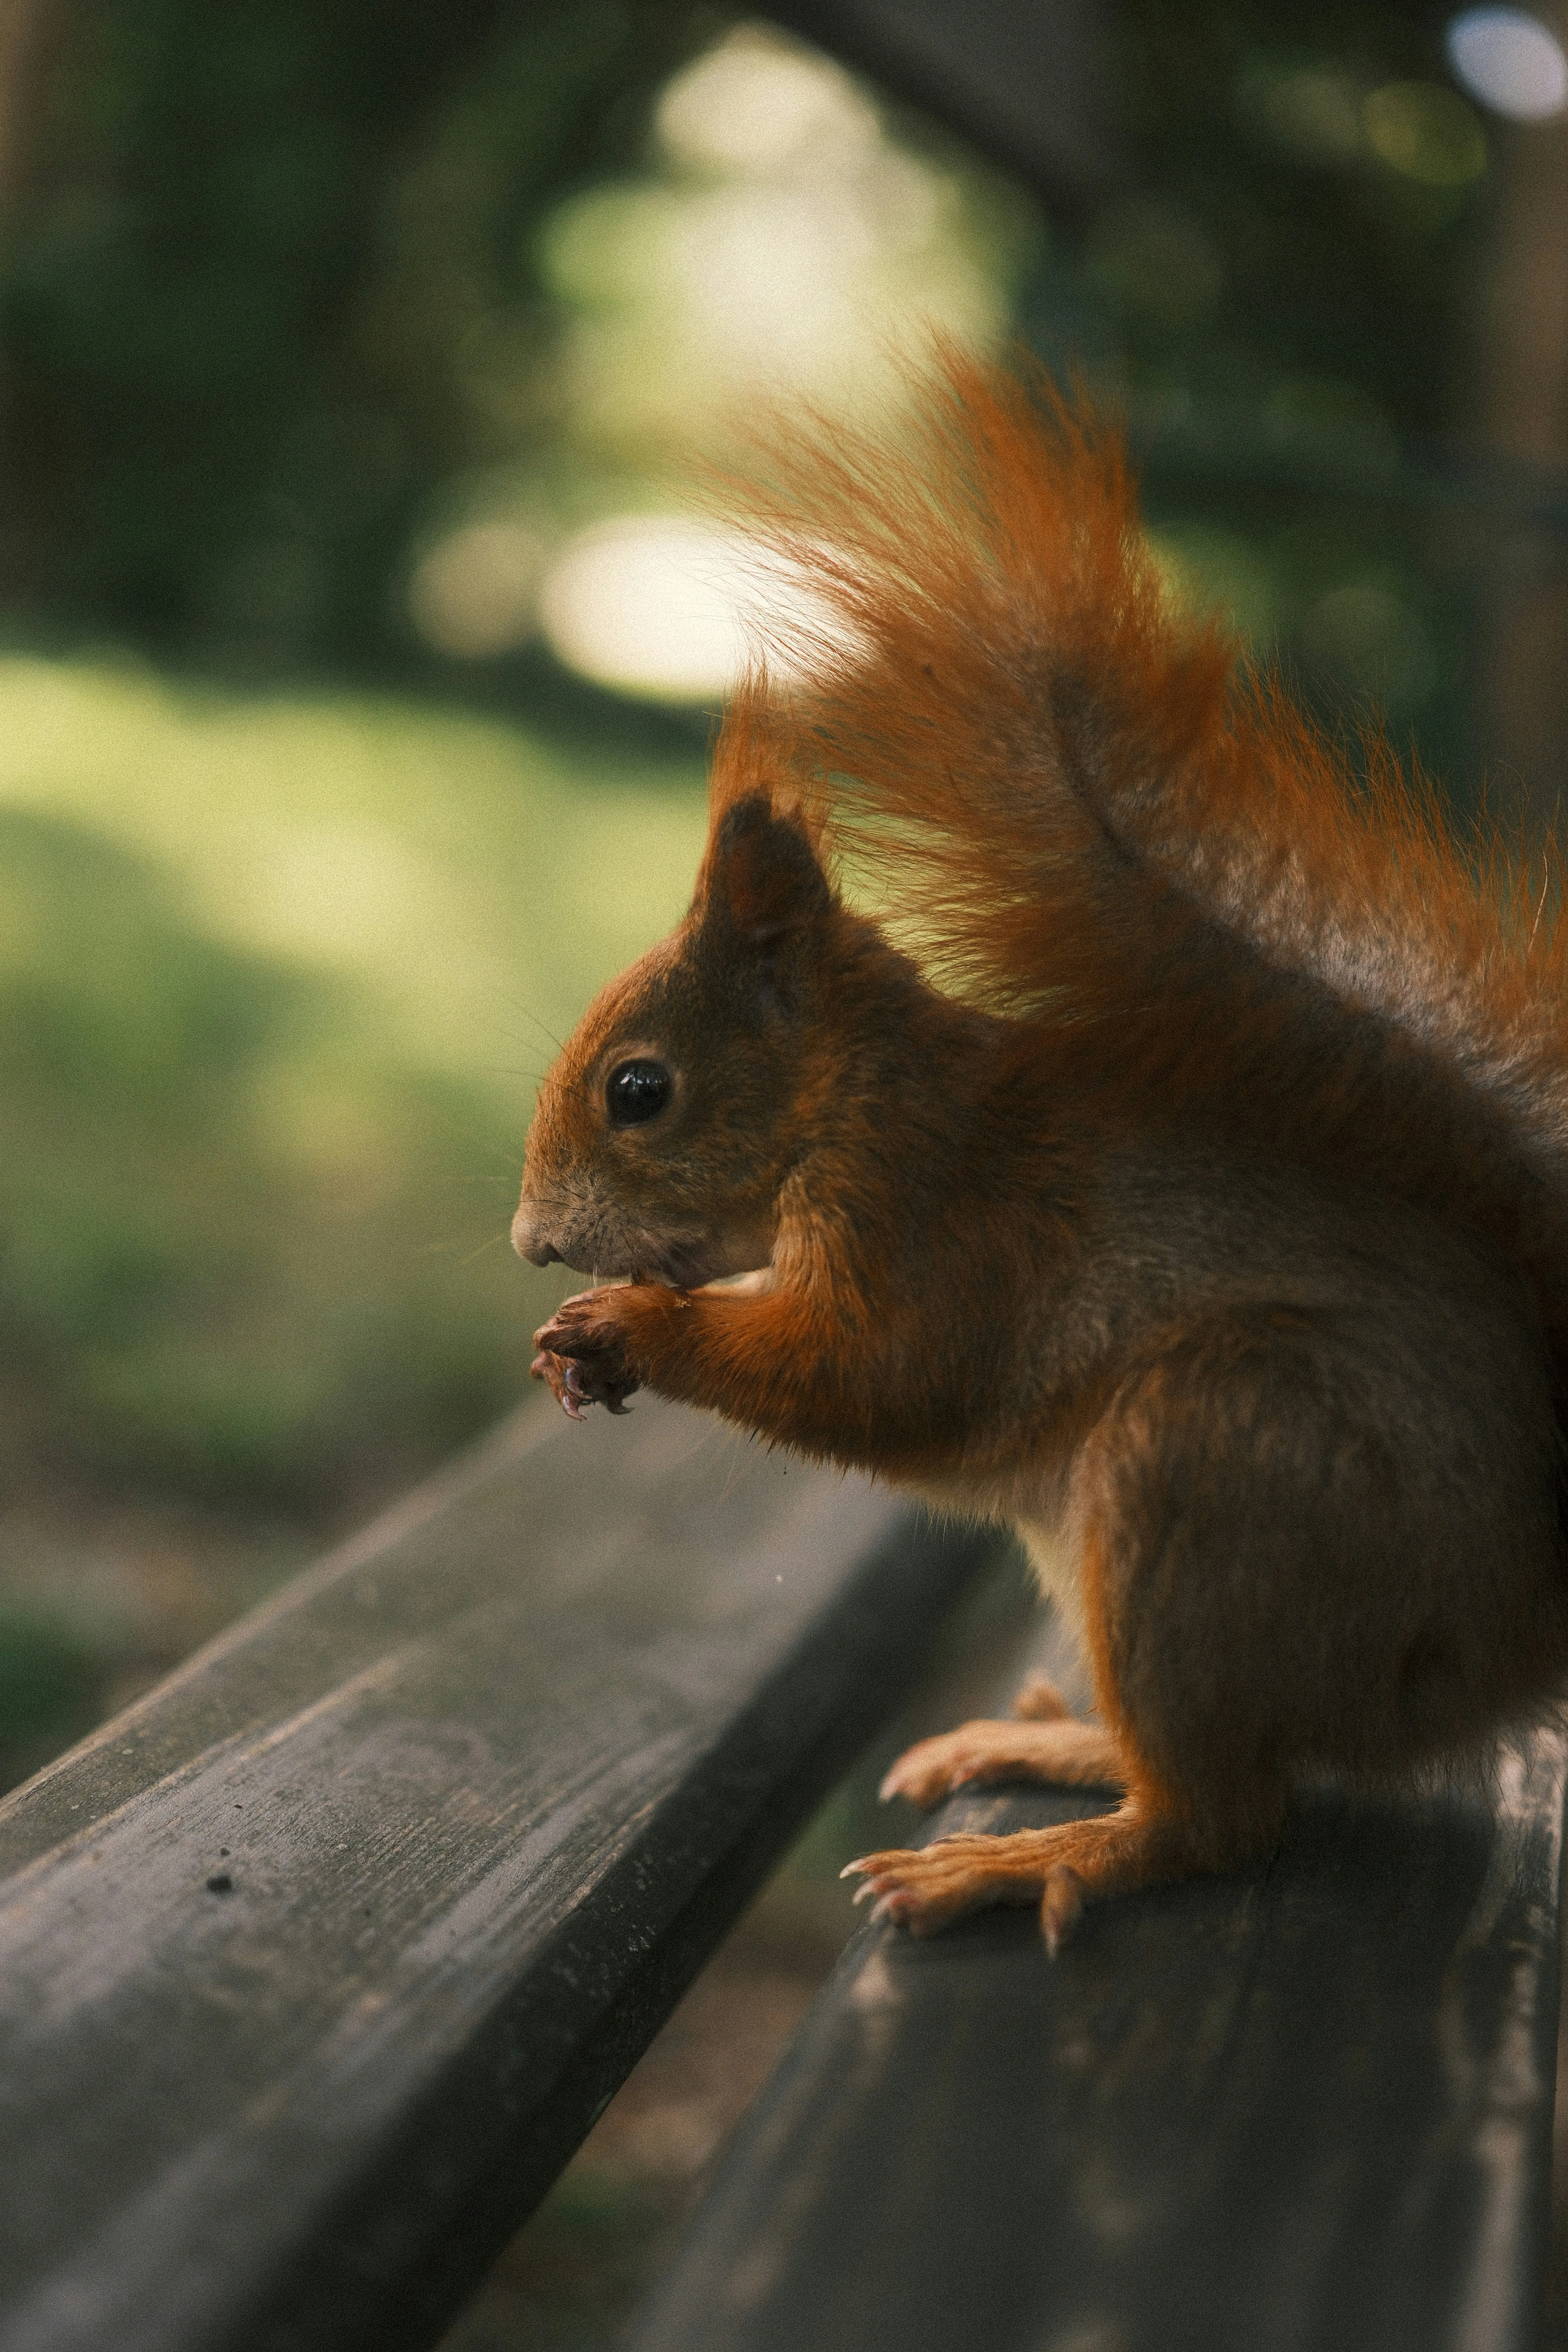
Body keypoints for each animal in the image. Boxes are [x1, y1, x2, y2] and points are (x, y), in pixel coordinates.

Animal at [512, 348, 1568, 1957]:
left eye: (640, 1091)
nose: (530, 1244)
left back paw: (1015, 1864)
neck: (848, 1095)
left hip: (1223, 1459)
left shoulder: (932, 1209)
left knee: (1223, 1818)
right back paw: (1050, 1747)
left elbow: (887, 1371)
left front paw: (633, 1325)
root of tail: (1510, 1639)